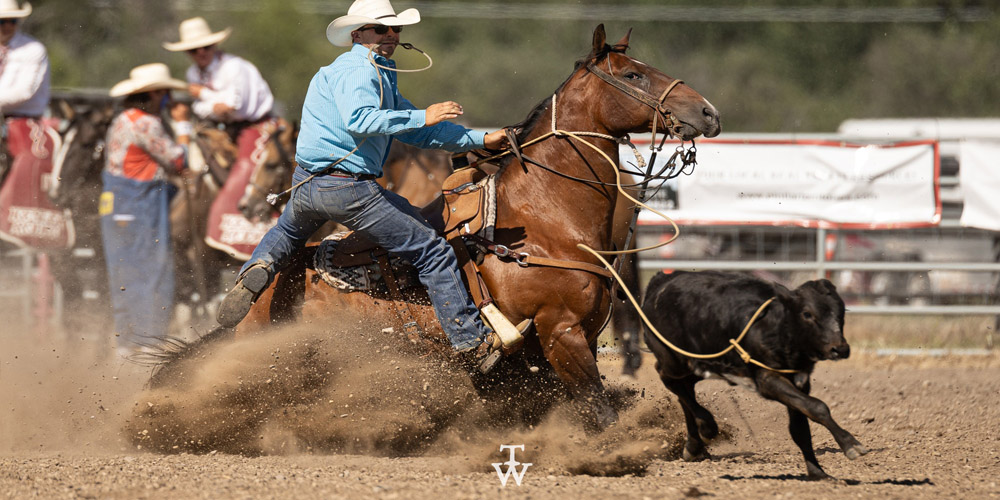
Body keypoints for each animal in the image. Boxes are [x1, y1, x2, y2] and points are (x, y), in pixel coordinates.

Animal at [234, 24, 720, 430]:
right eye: (634, 75)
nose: (708, 111)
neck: (546, 218)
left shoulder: (549, 350)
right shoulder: (561, 332)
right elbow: (599, 411)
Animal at [640, 272, 868, 478]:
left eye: (841, 312)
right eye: (807, 314)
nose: (840, 349)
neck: (778, 326)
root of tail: (660, 282)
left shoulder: (799, 381)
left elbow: (800, 428)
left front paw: (817, 473)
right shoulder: (768, 380)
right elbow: (818, 407)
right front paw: (851, 444)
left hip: (700, 364)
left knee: (685, 392)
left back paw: (694, 446)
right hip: (673, 360)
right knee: (669, 379)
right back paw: (707, 426)